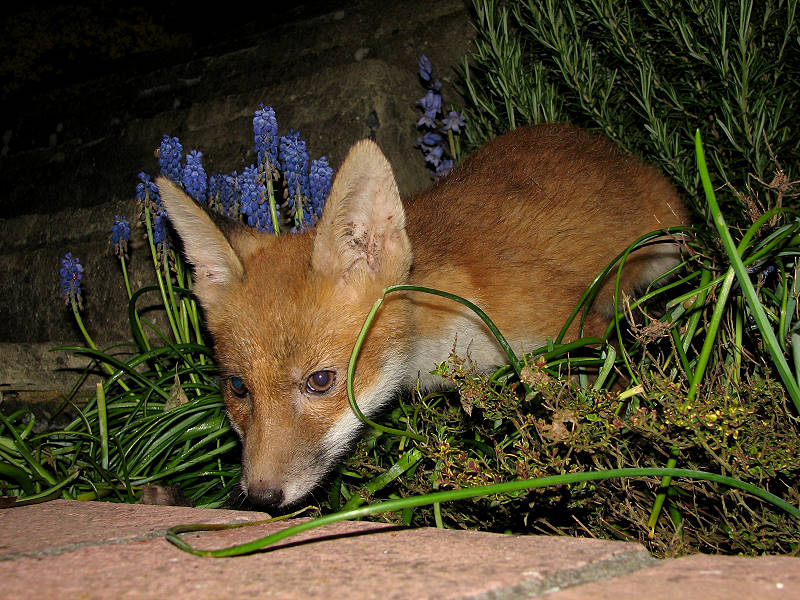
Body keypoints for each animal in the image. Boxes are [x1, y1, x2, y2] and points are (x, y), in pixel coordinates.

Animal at [157, 123, 688, 509]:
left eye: (321, 382)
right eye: (237, 388)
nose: (261, 498)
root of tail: (592, 139)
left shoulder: (579, 330)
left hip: (670, 252)